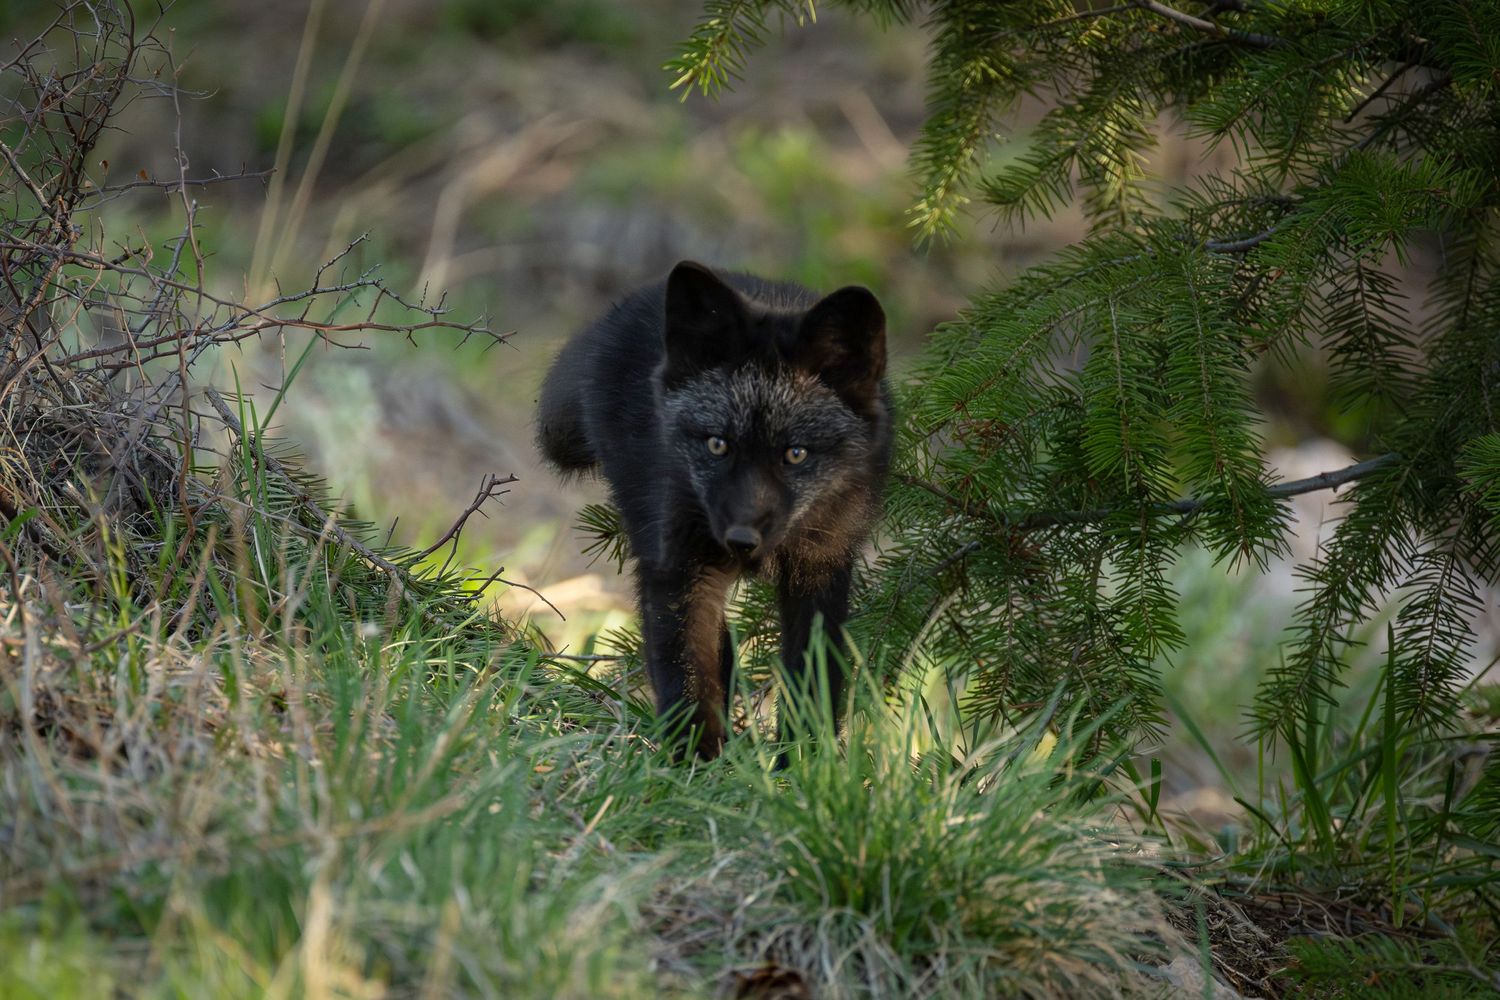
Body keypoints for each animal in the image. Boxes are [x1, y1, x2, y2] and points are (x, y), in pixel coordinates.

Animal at [536, 260, 893, 761]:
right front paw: (696, 762)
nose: (741, 539)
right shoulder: (682, 566)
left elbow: (813, 677)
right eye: (718, 445)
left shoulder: (822, 568)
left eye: (795, 454)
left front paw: (803, 761)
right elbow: (688, 674)